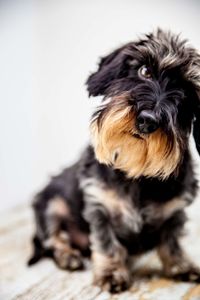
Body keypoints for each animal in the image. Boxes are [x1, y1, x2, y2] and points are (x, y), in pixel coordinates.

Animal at [28, 29, 200, 292]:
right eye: (145, 71)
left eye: (187, 93)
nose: (147, 120)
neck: (135, 172)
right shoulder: (99, 207)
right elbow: (107, 243)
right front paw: (111, 273)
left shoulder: (175, 211)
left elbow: (171, 242)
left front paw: (181, 266)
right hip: (50, 205)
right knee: (53, 240)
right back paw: (69, 256)